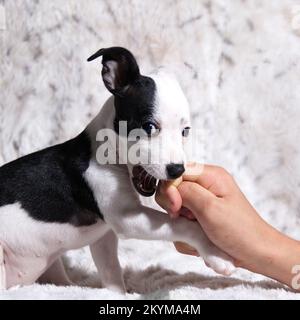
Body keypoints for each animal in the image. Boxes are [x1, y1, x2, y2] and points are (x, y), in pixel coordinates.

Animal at [0, 47, 234, 292]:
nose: (177, 170)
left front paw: (118, 294)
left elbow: (111, 270)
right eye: (149, 127)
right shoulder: (125, 218)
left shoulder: (104, 236)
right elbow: (181, 224)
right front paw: (216, 255)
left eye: (185, 131)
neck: (107, 155)